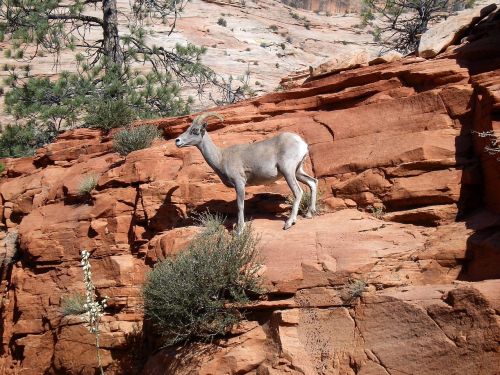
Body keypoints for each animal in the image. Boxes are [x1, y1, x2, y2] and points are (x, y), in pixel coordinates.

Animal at [175, 113, 316, 231]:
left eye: (195, 131)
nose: (177, 141)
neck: (221, 157)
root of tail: (302, 143)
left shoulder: (239, 183)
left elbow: (240, 206)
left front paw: (240, 230)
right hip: (297, 171)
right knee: (313, 182)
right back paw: (309, 214)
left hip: (288, 172)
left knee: (298, 192)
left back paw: (289, 223)